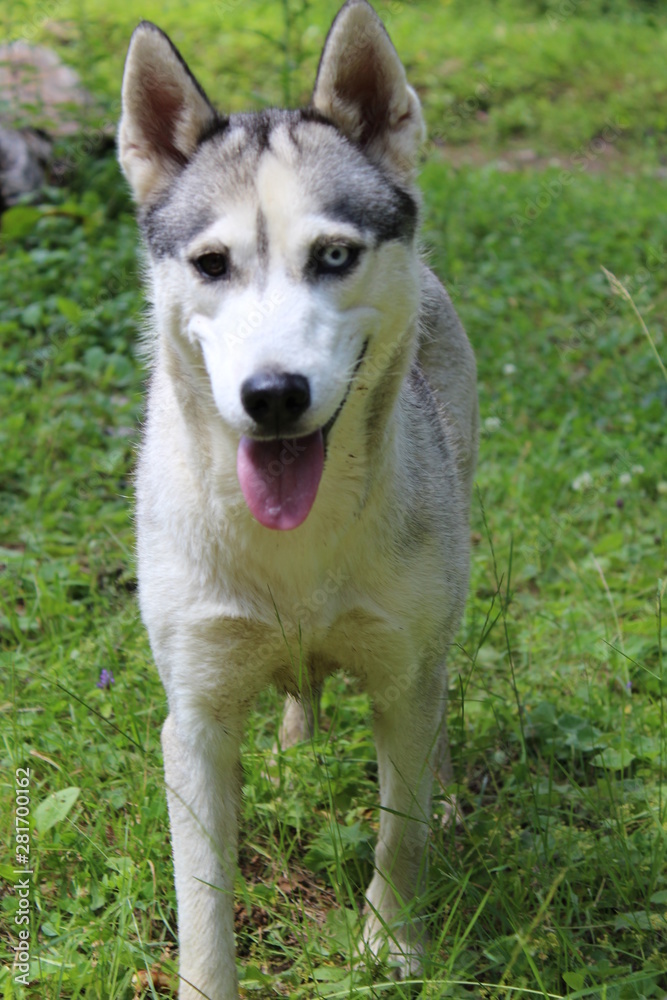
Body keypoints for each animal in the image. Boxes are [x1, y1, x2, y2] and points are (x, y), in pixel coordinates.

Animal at [117, 1, 478, 992]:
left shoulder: (401, 675)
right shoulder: (194, 717)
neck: (296, 544)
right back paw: (294, 739)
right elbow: (202, 897)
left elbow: (399, 832)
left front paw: (391, 943)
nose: (272, 394)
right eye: (211, 264)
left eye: (334, 255)